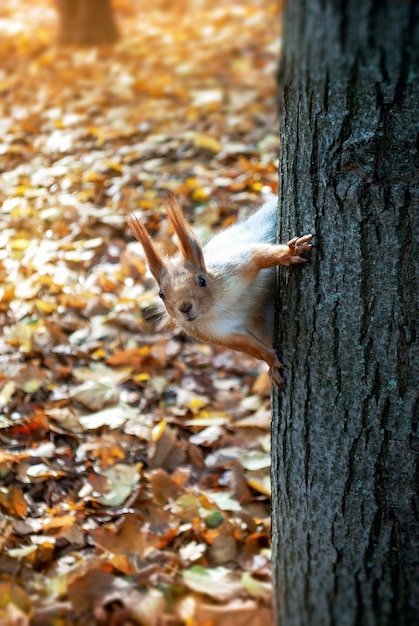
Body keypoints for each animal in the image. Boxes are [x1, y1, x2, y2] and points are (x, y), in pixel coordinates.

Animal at [130, 191, 312, 386]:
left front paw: (289, 253)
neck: (215, 308)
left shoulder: (233, 268)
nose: (185, 307)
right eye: (161, 293)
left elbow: (260, 256)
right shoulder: (217, 334)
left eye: (202, 280)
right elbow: (250, 347)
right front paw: (272, 363)